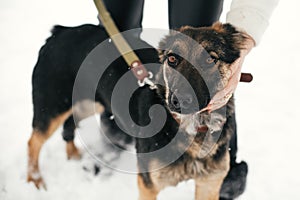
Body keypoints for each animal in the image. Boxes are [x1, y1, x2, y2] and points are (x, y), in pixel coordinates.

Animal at [28, 22, 247, 199]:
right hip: (53, 107)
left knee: (68, 124)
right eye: (172, 59)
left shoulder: (209, 184)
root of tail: (62, 31)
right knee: (33, 142)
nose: (178, 101)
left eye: (210, 59)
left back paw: (72, 155)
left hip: (87, 104)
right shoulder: (148, 185)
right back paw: (34, 180)